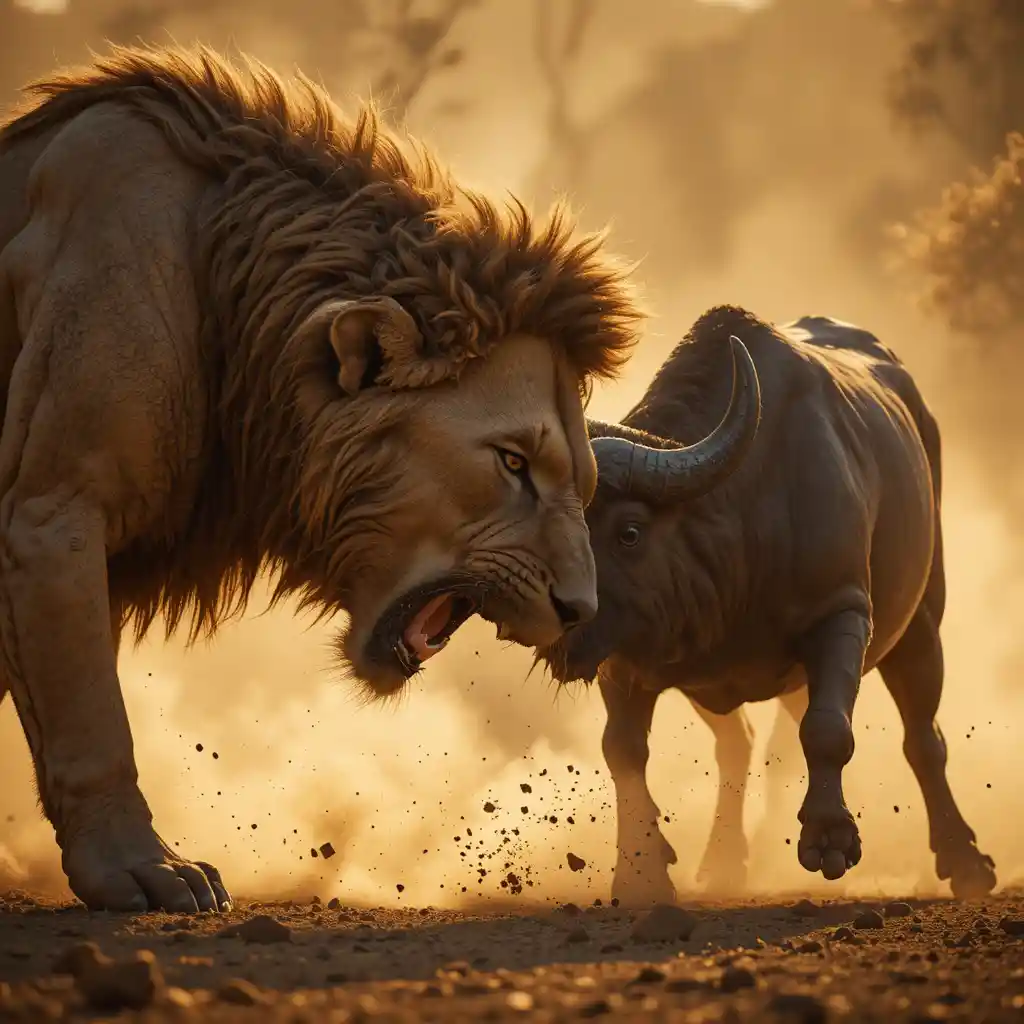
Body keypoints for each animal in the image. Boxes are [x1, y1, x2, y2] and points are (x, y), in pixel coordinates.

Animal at [0, 45, 641, 913]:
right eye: (512, 463)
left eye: (581, 483)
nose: (581, 609)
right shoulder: (52, 510)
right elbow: (90, 715)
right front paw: (141, 868)